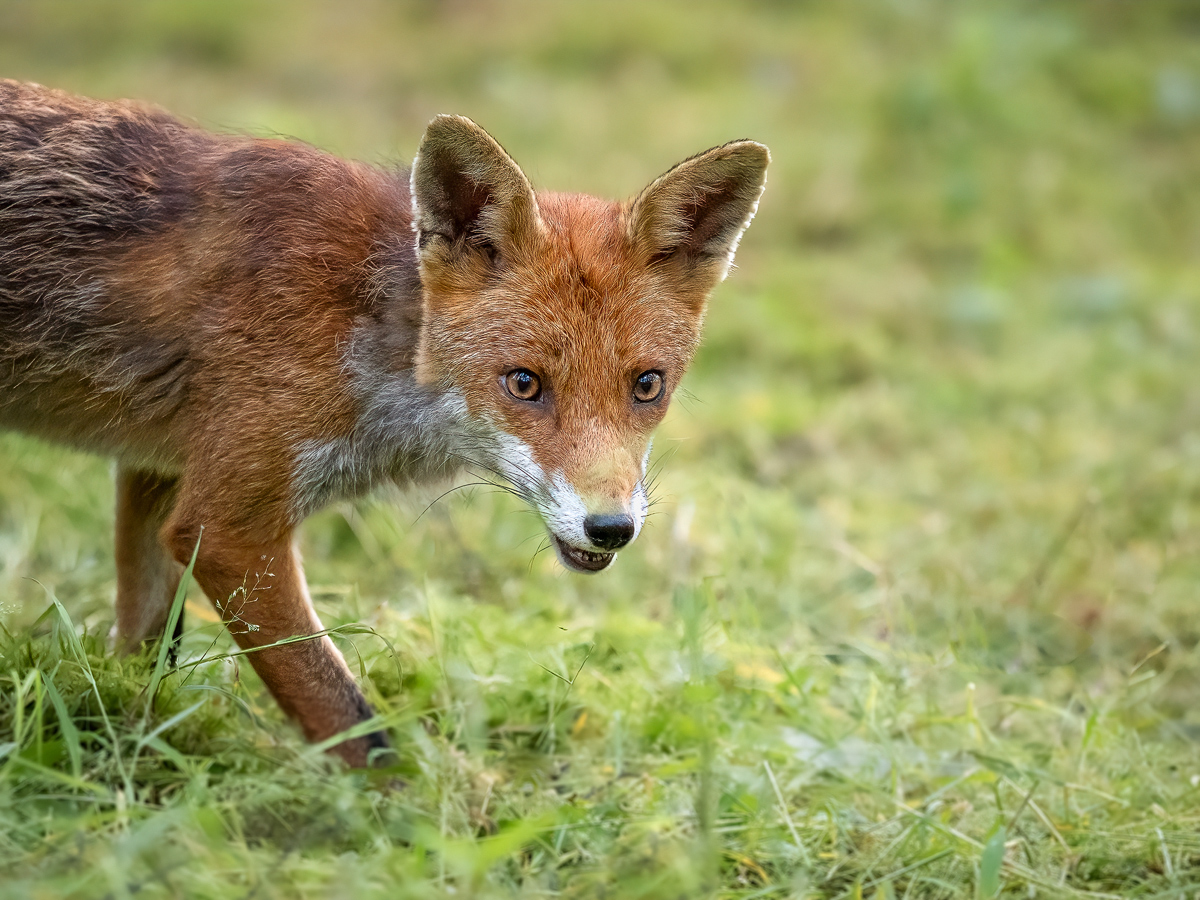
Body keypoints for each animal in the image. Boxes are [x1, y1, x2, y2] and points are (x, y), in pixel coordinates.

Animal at [0, 80, 769, 766]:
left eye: (647, 385)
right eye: (524, 384)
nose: (611, 528)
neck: (369, 334)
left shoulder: (159, 471)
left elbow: (144, 658)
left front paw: (129, 750)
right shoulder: (224, 529)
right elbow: (349, 719)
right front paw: (414, 814)